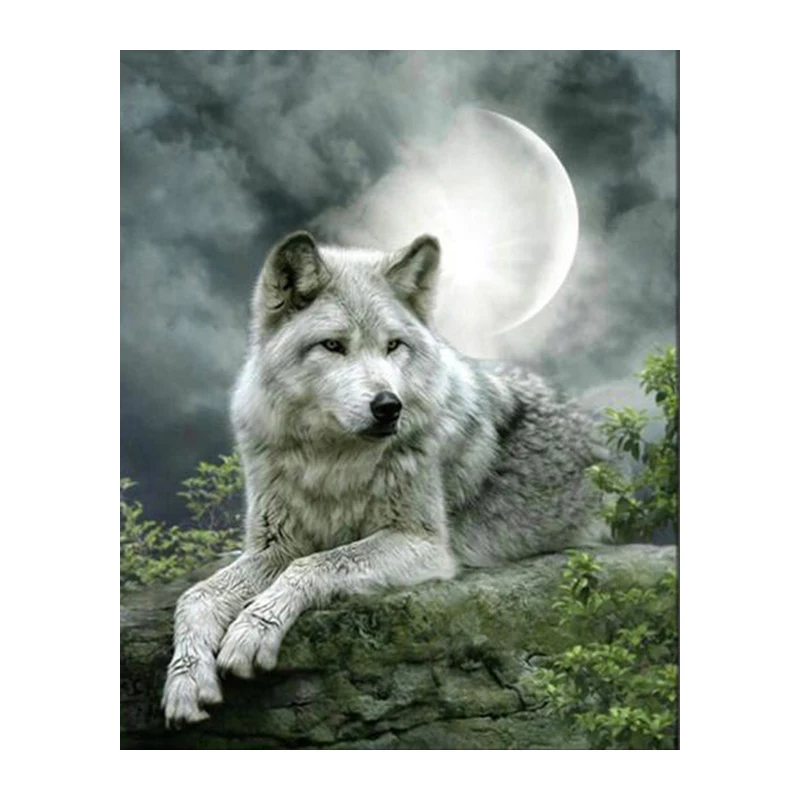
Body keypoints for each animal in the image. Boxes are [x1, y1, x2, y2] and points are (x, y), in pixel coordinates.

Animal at [162, 230, 608, 727]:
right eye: (333, 346)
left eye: (393, 345)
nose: (389, 406)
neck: (332, 460)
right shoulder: (275, 545)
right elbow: (196, 595)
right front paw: (186, 680)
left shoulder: (423, 544)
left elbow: (316, 564)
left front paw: (251, 630)